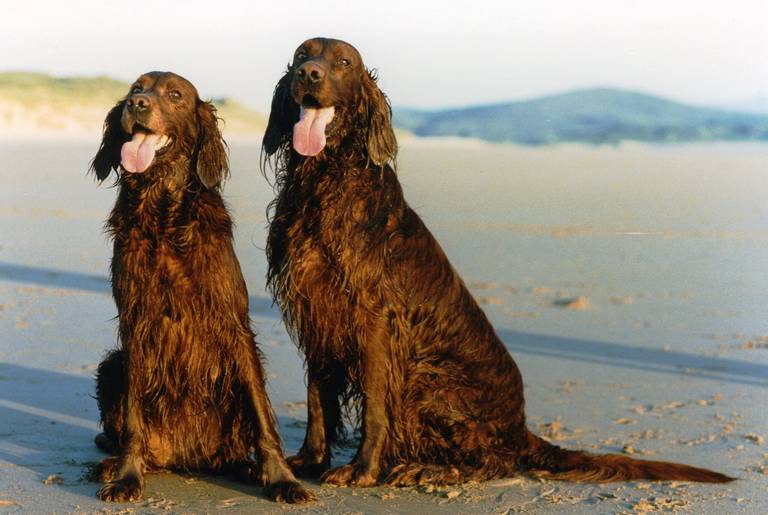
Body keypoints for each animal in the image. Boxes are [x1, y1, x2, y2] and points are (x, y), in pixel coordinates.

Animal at [91, 71, 314, 504]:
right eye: (136, 88)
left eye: (176, 95)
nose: (137, 104)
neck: (163, 213)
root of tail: (182, 457)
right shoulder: (136, 325)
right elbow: (133, 417)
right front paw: (127, 476)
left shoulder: (233, 324)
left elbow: (263, 419)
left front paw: (282, 479)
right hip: (112, 365)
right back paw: (112, 464)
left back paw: (247, 467)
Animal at [262, 40, 732, 488]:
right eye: (302, 54)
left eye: (343, 62)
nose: (309, 74)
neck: (325, 181)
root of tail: (519, 426)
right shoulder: (317, 310)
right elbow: (317, 399)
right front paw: (309, 460)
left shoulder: (374, 320)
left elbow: (377, 406)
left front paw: (362, 469)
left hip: (429, 376)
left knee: (493, 461)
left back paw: (429, 471)